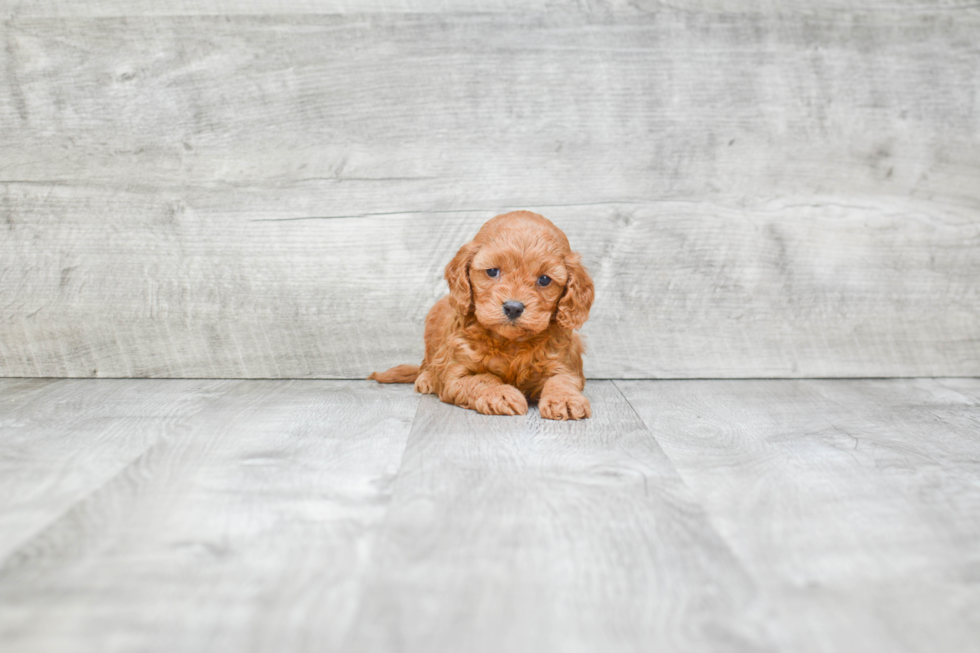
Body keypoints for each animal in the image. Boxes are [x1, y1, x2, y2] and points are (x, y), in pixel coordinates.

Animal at [370, 211, 592, 420]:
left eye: (544, 280)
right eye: (492, 271)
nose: (513, 307)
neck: (511, 343)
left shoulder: (563, 363)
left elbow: (563, 380)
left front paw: (565, 399)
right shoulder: (455, 374)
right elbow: (482, 379)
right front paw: (501, 393)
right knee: (427, 364)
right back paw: (426, 379)